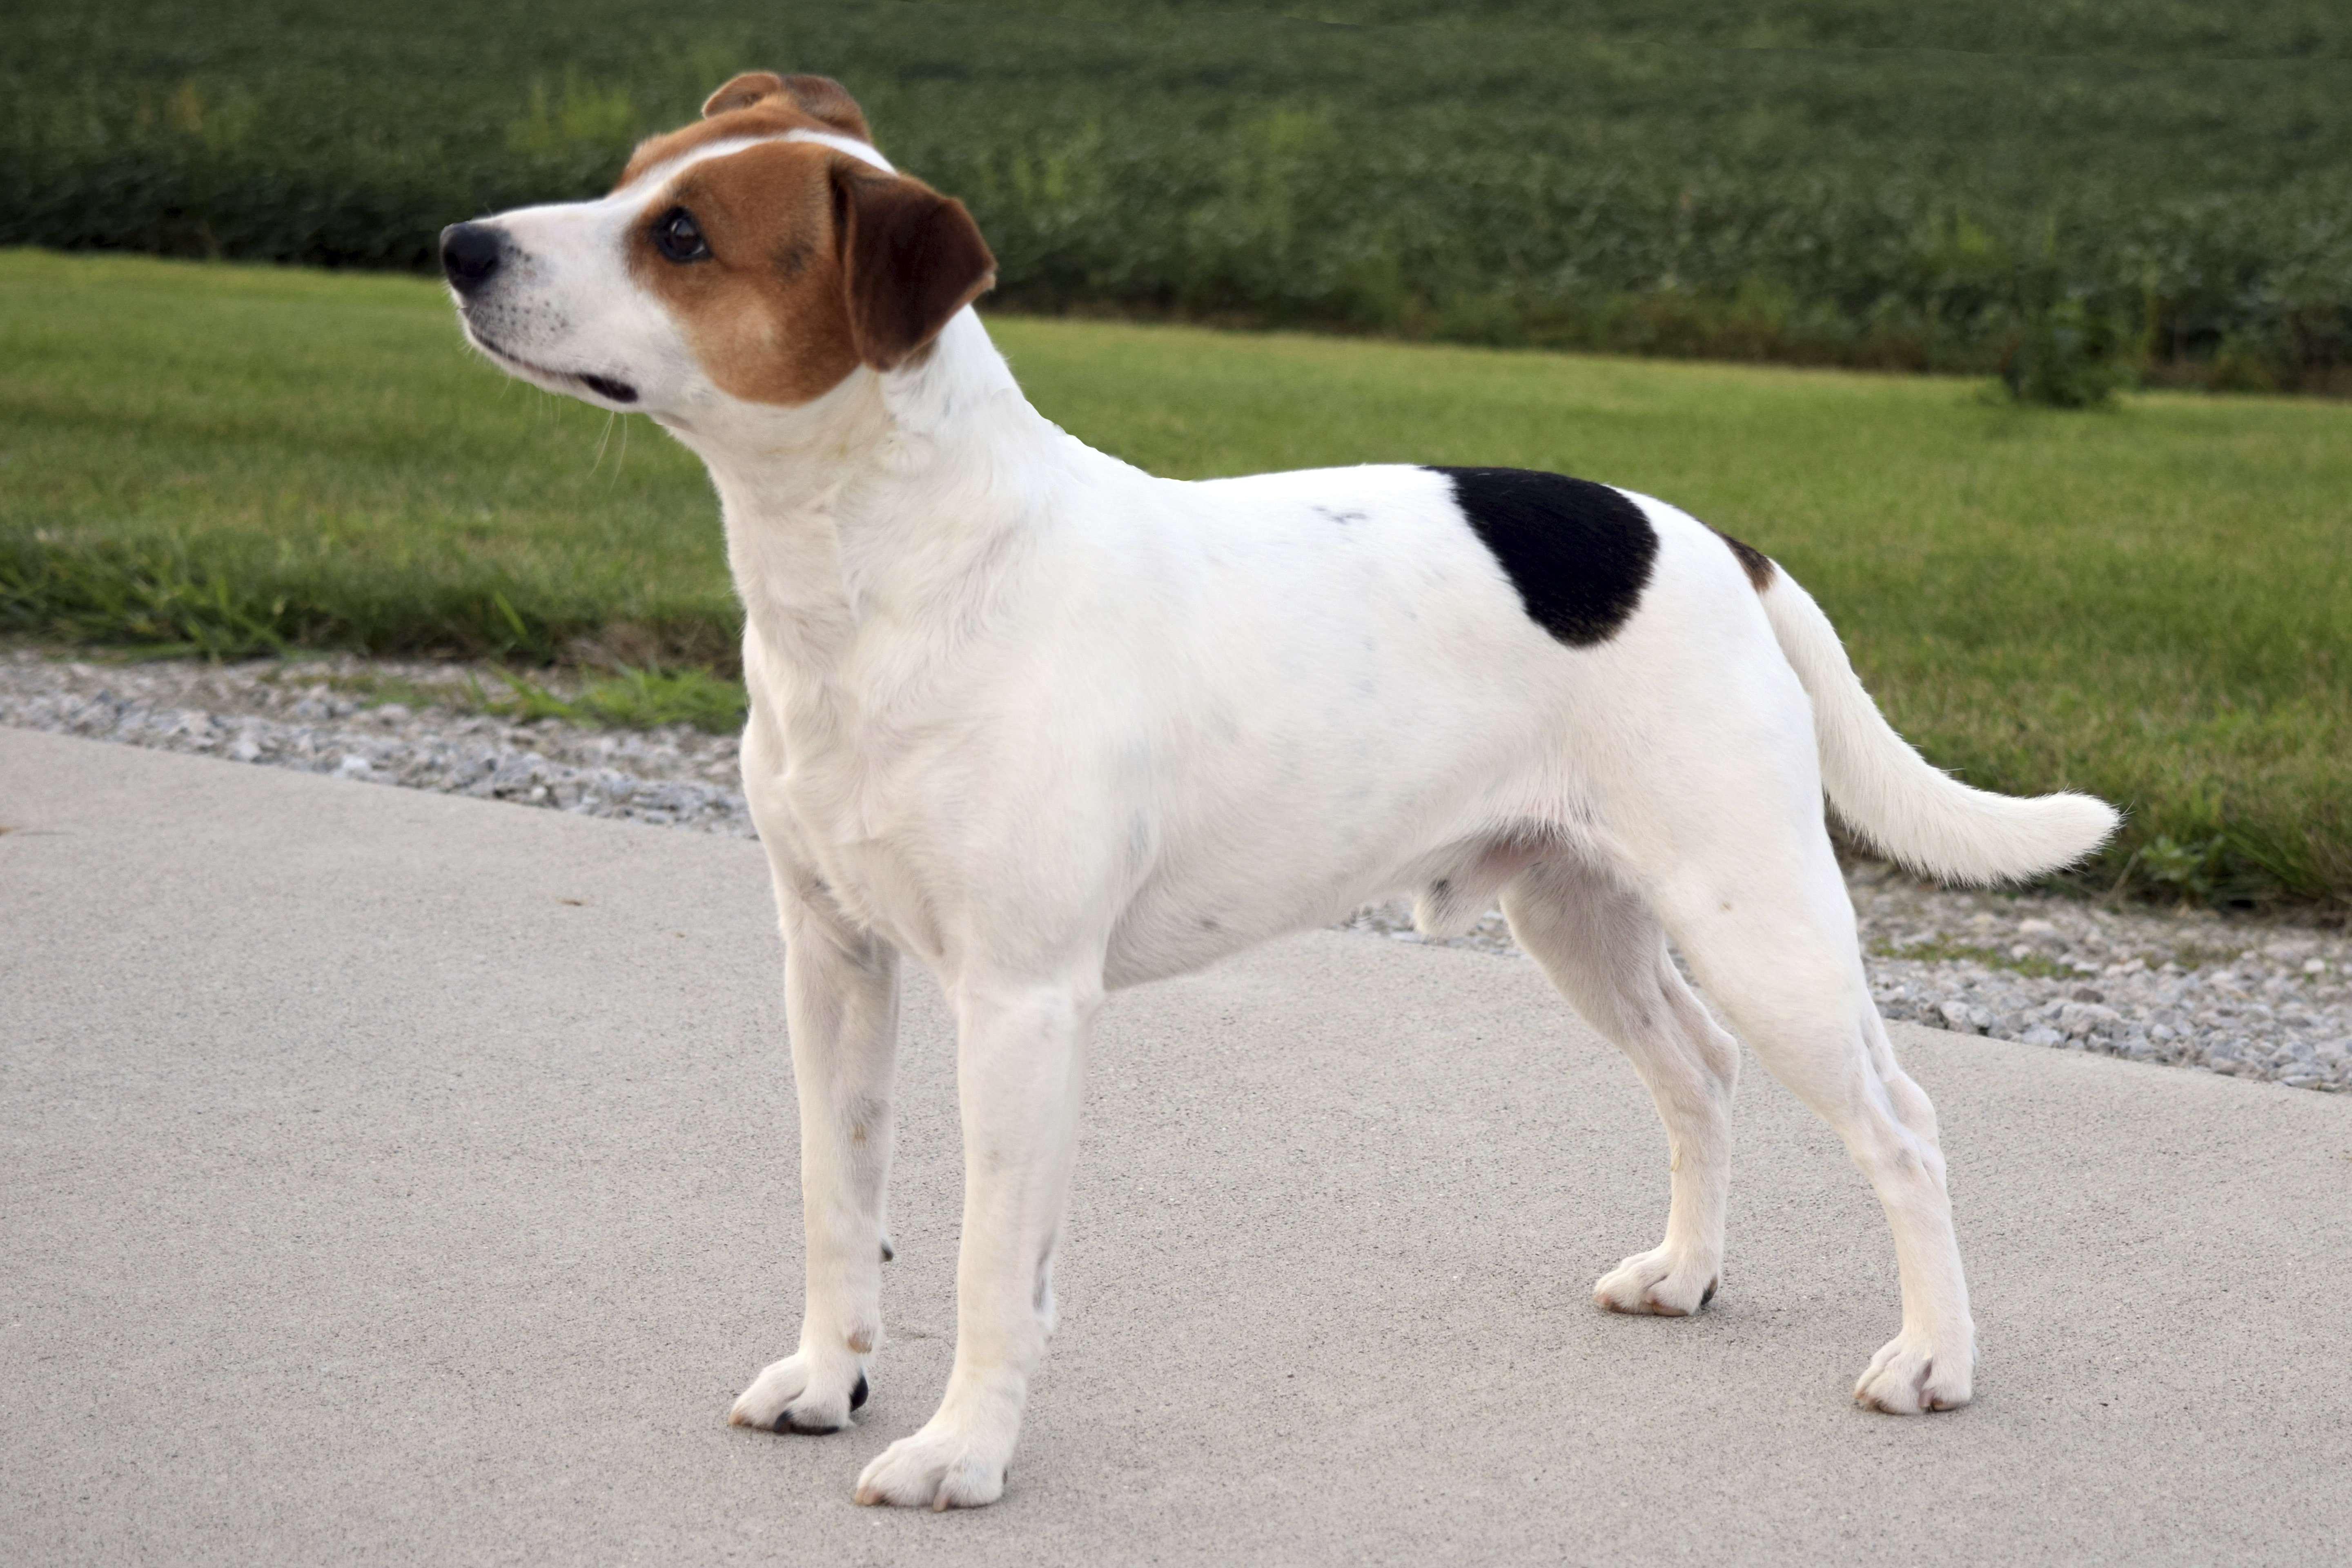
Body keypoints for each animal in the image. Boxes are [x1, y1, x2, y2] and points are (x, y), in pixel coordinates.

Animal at [437, 73, 2117, 1504]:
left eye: (683, 235)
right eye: (636, 171)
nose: (455, 245)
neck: (891, 565)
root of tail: (1712, 538)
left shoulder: (1021, 1002)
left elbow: (991, 1268)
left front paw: (961, 1455)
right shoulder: (831, 959)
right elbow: (836, 1199)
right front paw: (826, 1380)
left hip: (1757, 920)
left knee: (1902, 1125)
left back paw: (1934, 1358)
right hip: (1583, 919)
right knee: (1696, 1074)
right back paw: (1683, 1273)